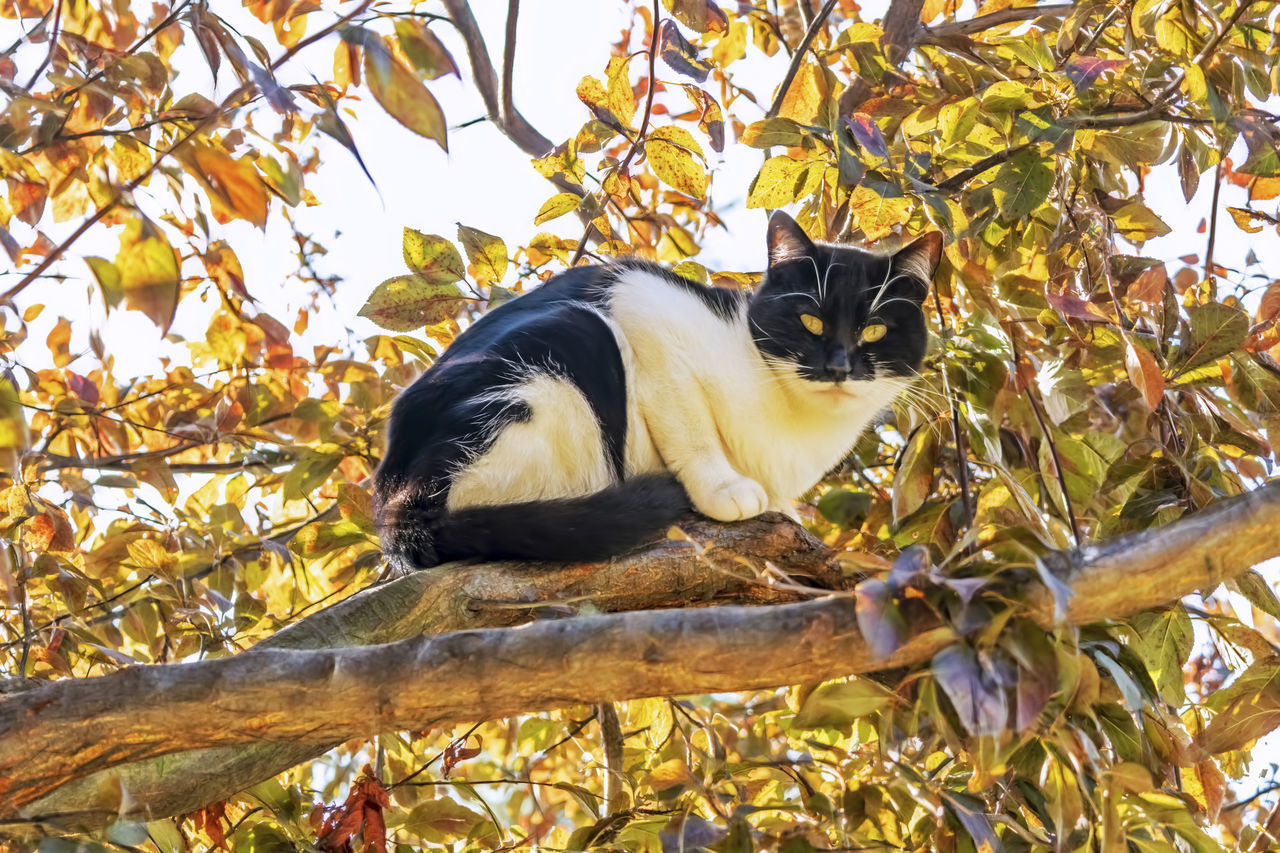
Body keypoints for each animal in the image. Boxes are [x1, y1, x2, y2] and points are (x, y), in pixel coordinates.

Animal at [371, 211, 942, 568]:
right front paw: (724, 488)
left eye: (874, 331)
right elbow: (690, 427)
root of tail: (394, 495)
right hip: (570, 342)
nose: (839, 365)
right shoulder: (643, 302)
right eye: (811, 321)